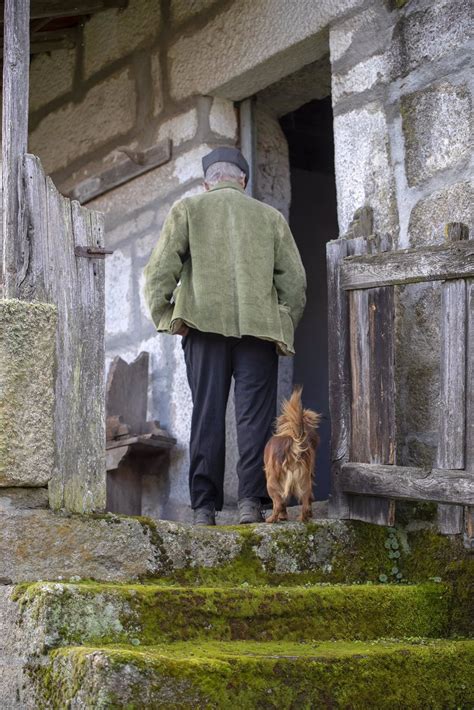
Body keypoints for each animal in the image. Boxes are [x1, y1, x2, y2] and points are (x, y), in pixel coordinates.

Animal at [264, 390, 320, 524]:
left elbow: (281, 502)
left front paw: (282, 517)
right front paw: (284, 516)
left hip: (271, 483)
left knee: (278, 503)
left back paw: (271, 519)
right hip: (305, 481)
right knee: (306, 502)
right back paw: (304, 518)